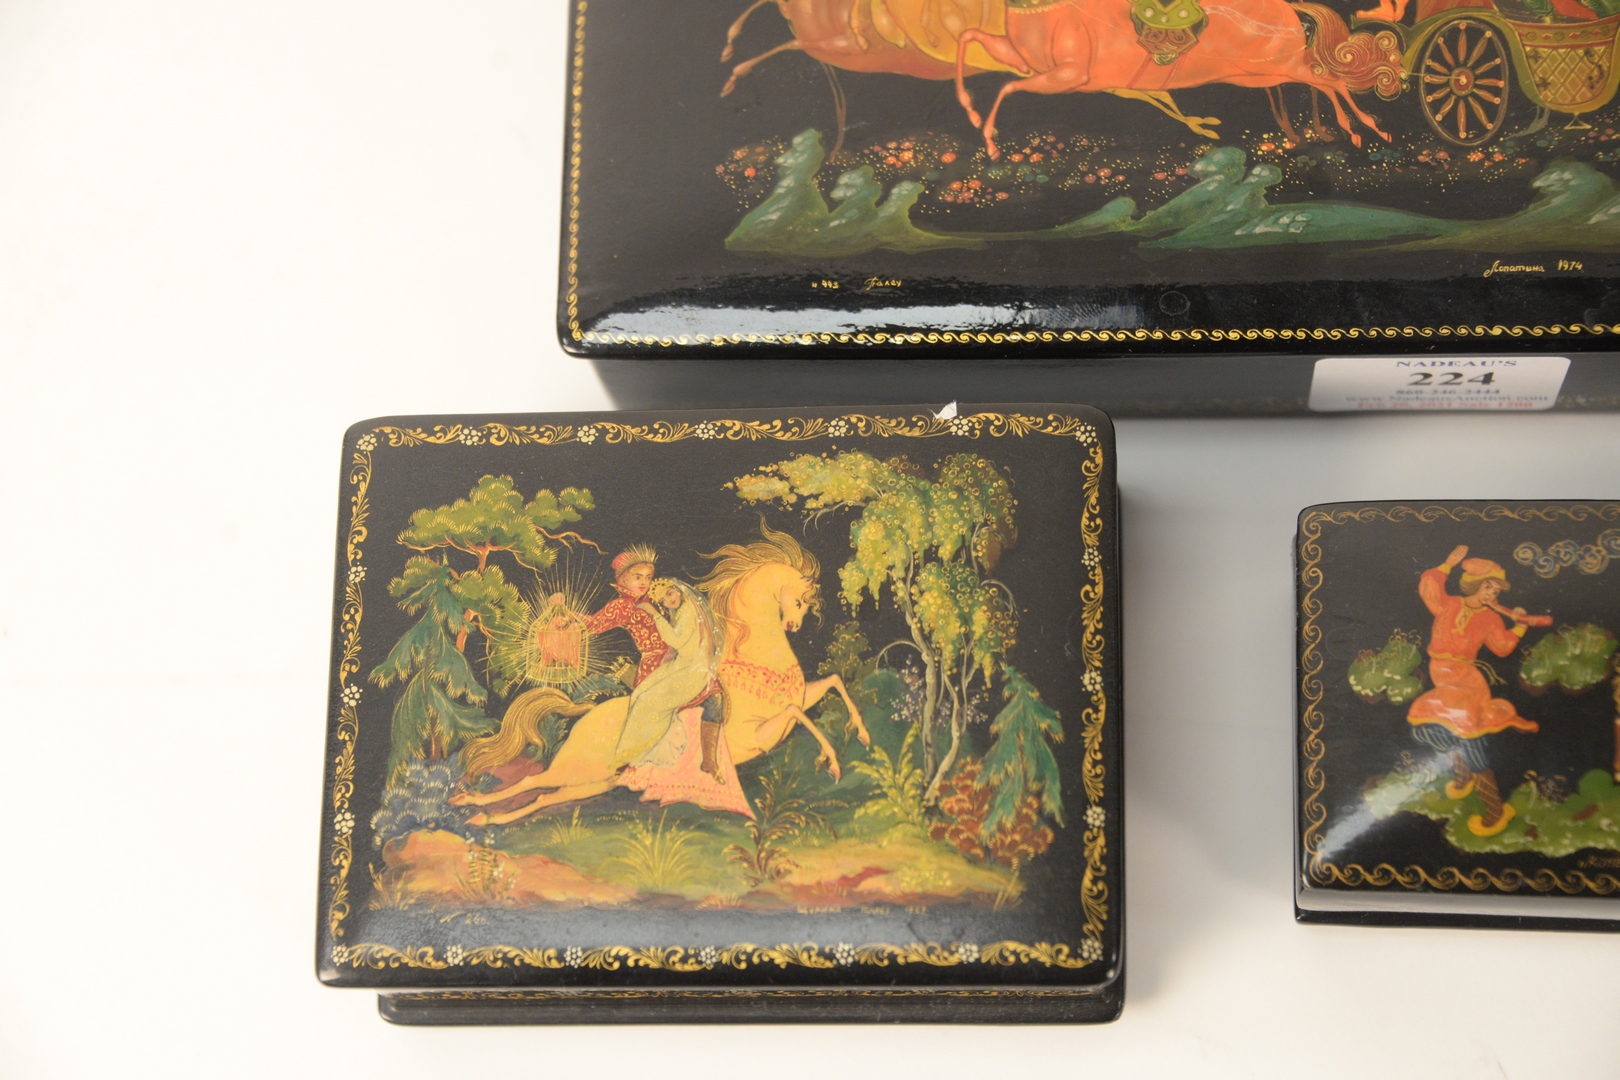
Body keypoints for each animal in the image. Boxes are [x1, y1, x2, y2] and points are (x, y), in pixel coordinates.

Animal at [451, 523, 872, 827]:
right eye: (799, 598)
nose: (795, 623)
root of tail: (587, 714)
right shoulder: (756, 733)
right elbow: (797, 712)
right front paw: (832, 762)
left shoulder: (794, 704)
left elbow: (831, 684)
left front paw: (861, 735)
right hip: (580, 766)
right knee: (534, 781)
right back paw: (474, 805)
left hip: (595, 779)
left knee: (541, 792)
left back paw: (481, 812)